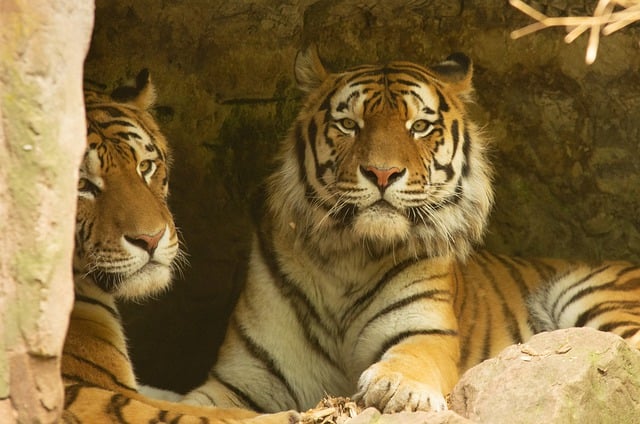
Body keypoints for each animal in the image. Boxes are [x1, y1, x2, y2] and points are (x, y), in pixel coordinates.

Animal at [182, 46, 640, 414]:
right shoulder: (244, 379)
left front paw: (395, 386)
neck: (347, 258)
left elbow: (411, 357)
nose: (382, 173)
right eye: (348, 124)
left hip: (587, 292)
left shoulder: (425, 330)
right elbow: (190, 404)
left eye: (419, 127)